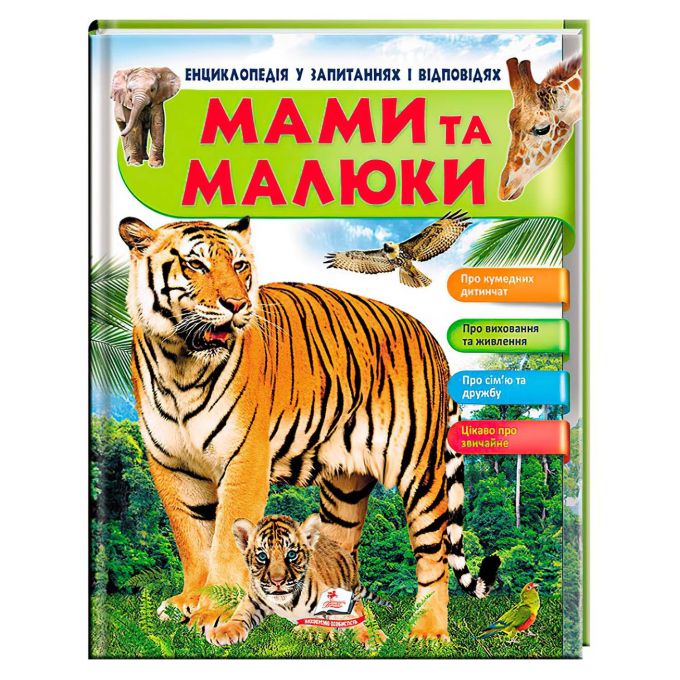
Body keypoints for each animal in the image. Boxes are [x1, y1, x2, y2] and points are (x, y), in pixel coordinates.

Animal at [206, 513, 389, 647]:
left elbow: (348, 619)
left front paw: (373, 636)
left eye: (292, 554)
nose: (277, 581)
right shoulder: (254, 600)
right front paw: (224, 631)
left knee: (358, 609)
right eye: (263, 556)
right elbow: (240, 614)